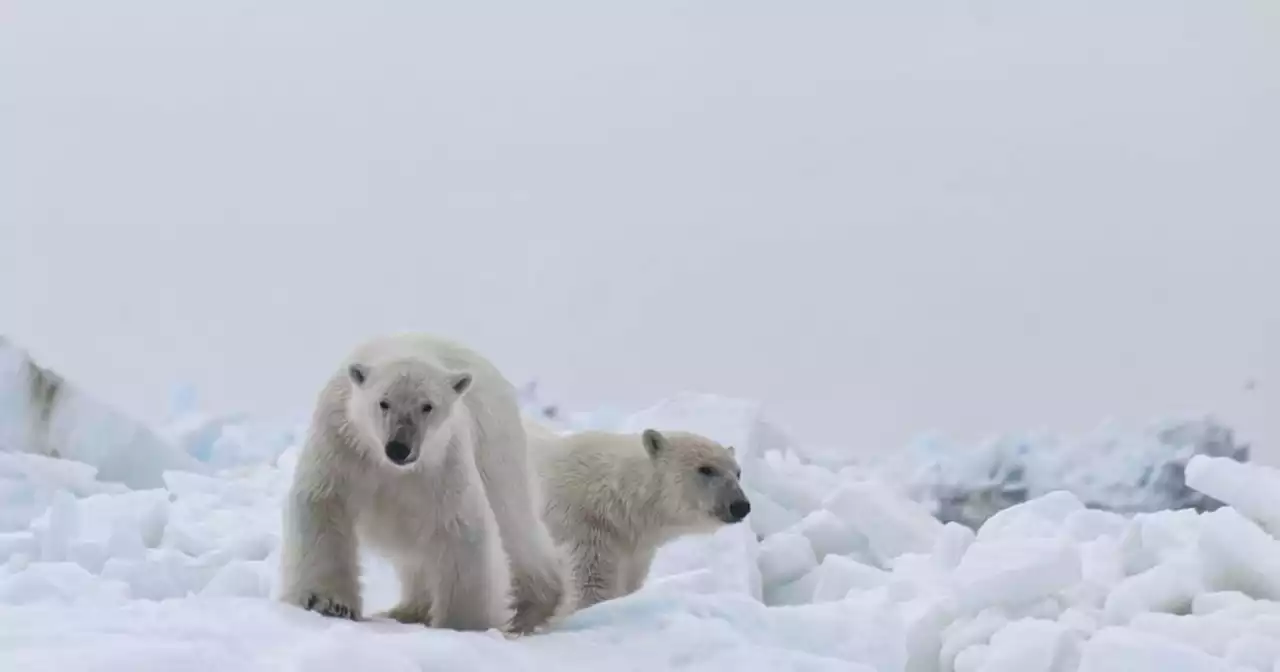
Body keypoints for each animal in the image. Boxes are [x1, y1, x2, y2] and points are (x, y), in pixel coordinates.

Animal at [282, 332, 568, 632]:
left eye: (427, 406)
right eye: (384, 402)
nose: (399, 447)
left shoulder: (441, 461)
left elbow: (460, 525)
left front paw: (462, 624)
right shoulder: (342, 443)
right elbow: (324, 503)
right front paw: (328, 603)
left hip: (496, 449)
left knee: (513, 522)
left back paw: (534, 605)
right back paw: (407, 610)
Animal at [527, 422, 747, 609]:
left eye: (738, 473)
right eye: (706, 469)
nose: (740, 506)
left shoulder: (635, 551)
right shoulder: (580, 528)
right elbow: (591, 587)